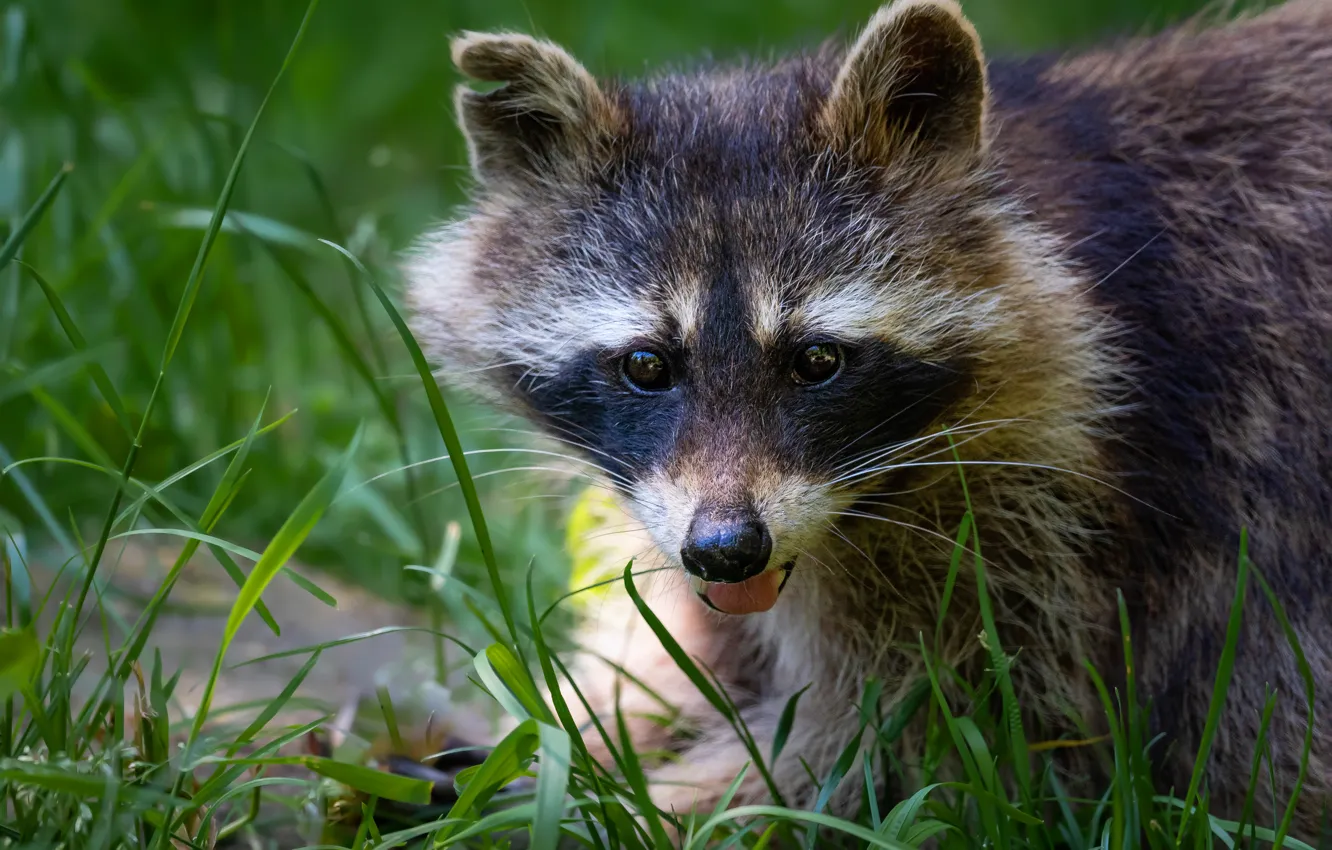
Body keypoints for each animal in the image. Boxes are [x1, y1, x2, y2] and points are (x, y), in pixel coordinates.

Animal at [406, 0, 1332, 831]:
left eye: (818, 361)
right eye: (646, 366)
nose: (727, 549)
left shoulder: (1065, 520)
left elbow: (927, 748)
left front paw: (621, 805)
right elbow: (698, 649)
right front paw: (568, 730)